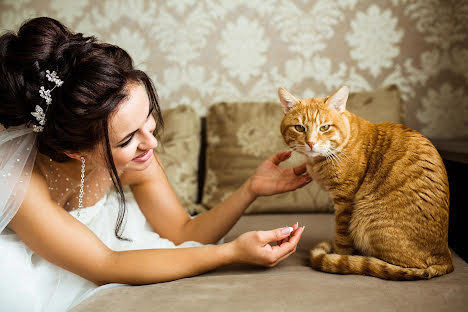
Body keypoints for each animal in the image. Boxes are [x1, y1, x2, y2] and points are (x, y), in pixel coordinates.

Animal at [278, 86, 454, 280]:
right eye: (299, 128)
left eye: (324, 127)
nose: (310, 142)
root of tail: (444, 257)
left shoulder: (345, 200)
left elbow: (342, 238)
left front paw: (339, 255)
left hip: (366, 218)